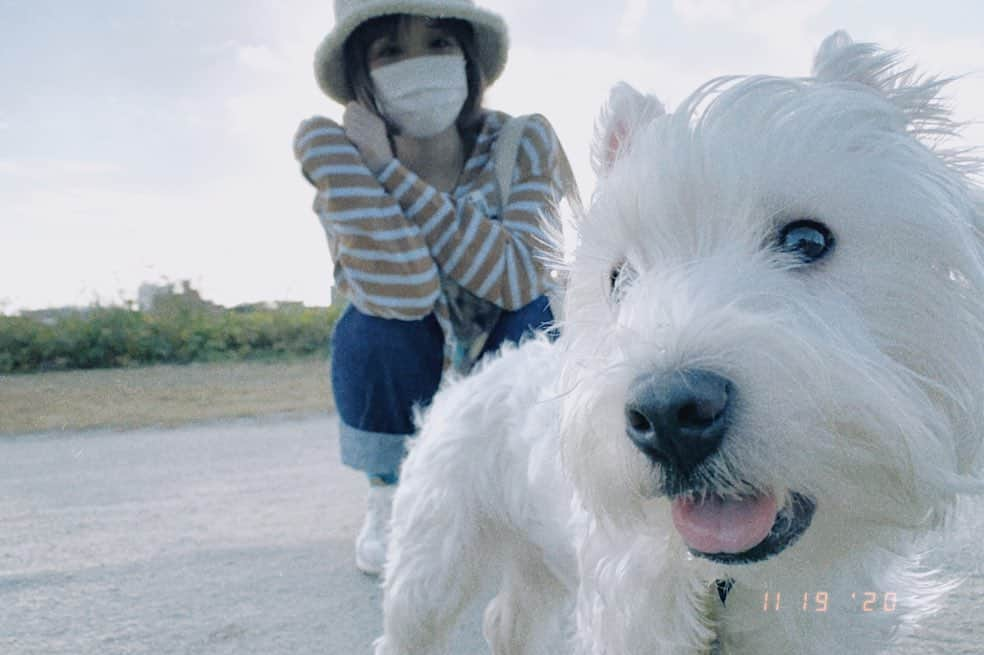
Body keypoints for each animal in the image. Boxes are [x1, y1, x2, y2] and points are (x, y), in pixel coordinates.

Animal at [372, 32, 980, 655]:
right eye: (618, 277)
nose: (668, 414)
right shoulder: (631, 616)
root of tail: (476, 372)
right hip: (436, 552)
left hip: (533, 552)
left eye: (809, 239)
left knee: (508, 615)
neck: (732, 584)